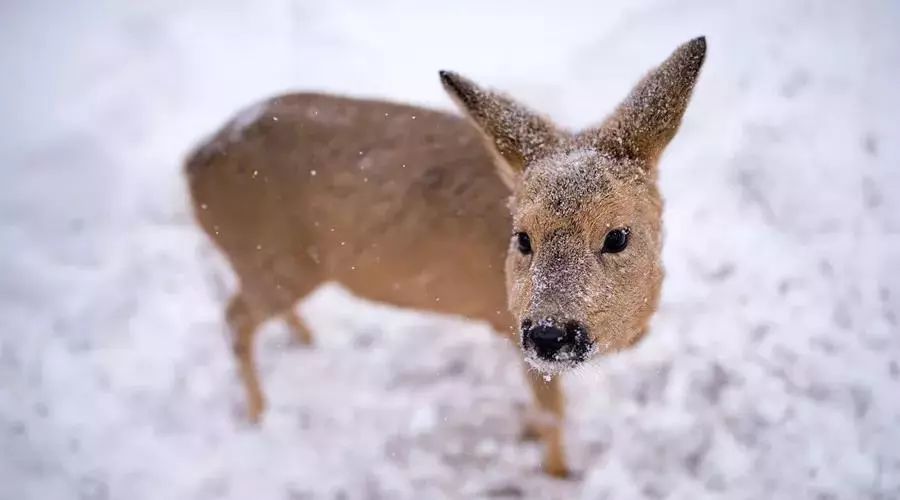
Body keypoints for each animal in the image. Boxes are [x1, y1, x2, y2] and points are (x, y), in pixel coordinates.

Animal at [186, 36, 712, 476]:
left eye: (617, 236)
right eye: (522, 238)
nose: (549, 335)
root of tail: (192, 163)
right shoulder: (511, 324)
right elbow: (553, 412)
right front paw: (559, 473)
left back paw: (306, 341)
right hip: (275, 258)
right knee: (234, 318)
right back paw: (260, 414)